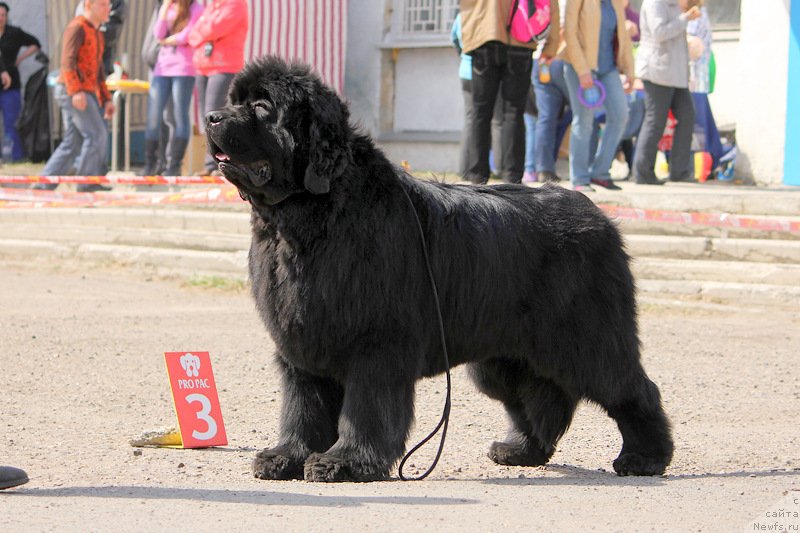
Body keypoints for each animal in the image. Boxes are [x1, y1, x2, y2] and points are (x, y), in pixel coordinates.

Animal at [203, 56, 672, 480]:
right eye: (234, 101)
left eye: (262, 106)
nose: (210, 116)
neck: (310, 216)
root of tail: (597, 215)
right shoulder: (302, 339)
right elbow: (303, 407)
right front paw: (287, 456)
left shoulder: (376, 342)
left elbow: (365, 408)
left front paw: (347, 462)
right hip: (504, 355)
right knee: (540, 396)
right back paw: (521, 450)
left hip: (588, 339)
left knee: (632, 388)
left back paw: (645, 458)